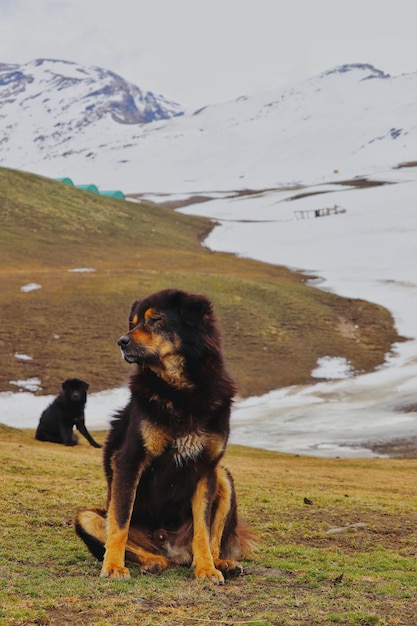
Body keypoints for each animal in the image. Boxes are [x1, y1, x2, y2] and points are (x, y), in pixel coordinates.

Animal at [75, 288, 255, 580]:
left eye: (156, 320)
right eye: (133, 322)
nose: (121, 341)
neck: (181, 391)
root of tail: (171, 549)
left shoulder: (206, 467)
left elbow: (203, 530)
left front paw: (206, 569)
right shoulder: (129, 461)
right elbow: (120, 524)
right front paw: (112, 566)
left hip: (223, 477)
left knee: (212, 539)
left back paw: (220, 563)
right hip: (86, 518)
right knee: (125, 539)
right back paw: (152, 562)